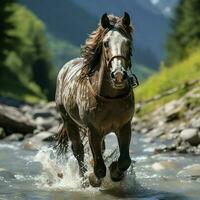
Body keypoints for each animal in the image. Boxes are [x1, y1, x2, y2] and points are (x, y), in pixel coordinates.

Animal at [55, 12, 138, 188]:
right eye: (105, 43)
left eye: (128, 42)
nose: (118, 75)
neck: (110, 98)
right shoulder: (93, 130)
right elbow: (99, 168)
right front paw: (93, 178)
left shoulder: (124, 126)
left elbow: (125, 160)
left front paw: (115, 172)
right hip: (68, 120)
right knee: (78, 150)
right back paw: (83, 178)